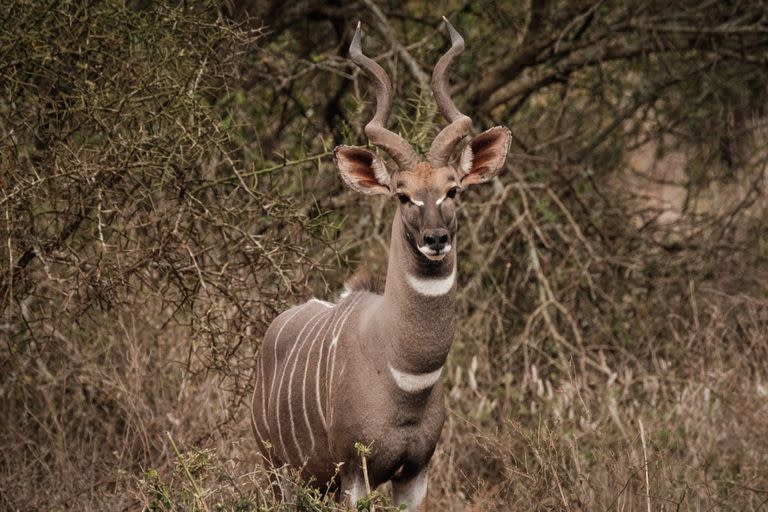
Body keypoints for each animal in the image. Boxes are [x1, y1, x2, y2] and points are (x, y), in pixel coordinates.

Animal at [252, 18, 510, 510]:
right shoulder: (356, 470)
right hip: (279, 471)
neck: (403, 375)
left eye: (453, 189)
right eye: (402, 195)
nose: (435, 239)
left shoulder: (416, 471)